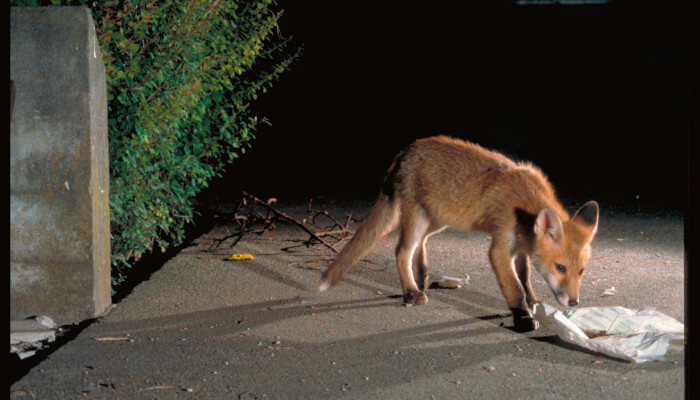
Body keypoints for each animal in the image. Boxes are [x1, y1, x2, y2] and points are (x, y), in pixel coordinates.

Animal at [318, 135, 599, 332]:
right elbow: (514, 288)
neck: (524, 205)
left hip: (437, 219)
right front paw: (522, 318)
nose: (574, 303)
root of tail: (407, 149)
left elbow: (525, 279)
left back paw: (421, 277)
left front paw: (532, 303)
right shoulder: (500, 248)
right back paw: (411, 291)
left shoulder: (520, 248)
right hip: (418, 219)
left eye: (581, 271)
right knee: (402, 251)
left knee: (420, 244)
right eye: (560, 267)